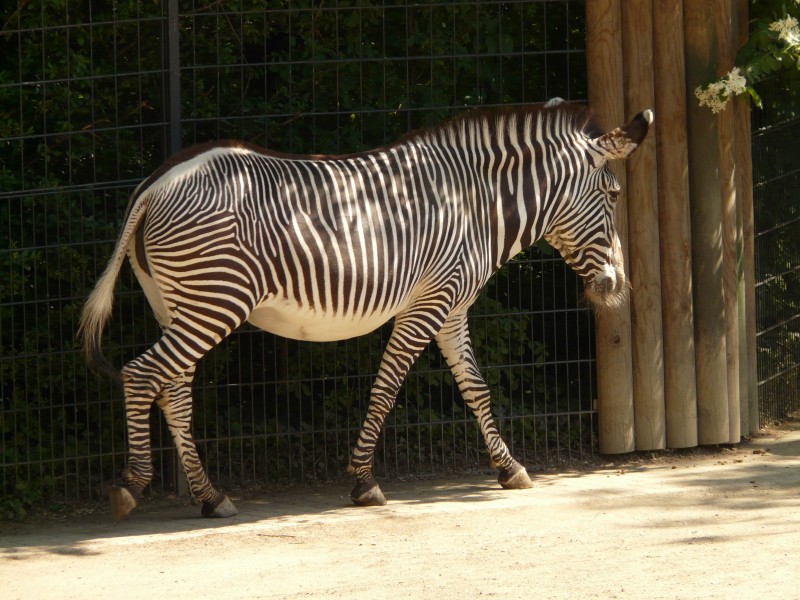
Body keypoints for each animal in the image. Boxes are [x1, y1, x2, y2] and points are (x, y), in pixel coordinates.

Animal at [79, 101, 648, 516]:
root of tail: (156, 182)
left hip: (179, 304)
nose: (617, 286)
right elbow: (387, 388)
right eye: (614, 194)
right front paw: (364, 481)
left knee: (173, 391)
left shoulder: (453, 309)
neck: (474, 204)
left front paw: (509, 468)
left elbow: (477, 390)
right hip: (215, 300)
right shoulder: (428, 301)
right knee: (141, 374)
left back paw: (209, 495)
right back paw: (131, 486)